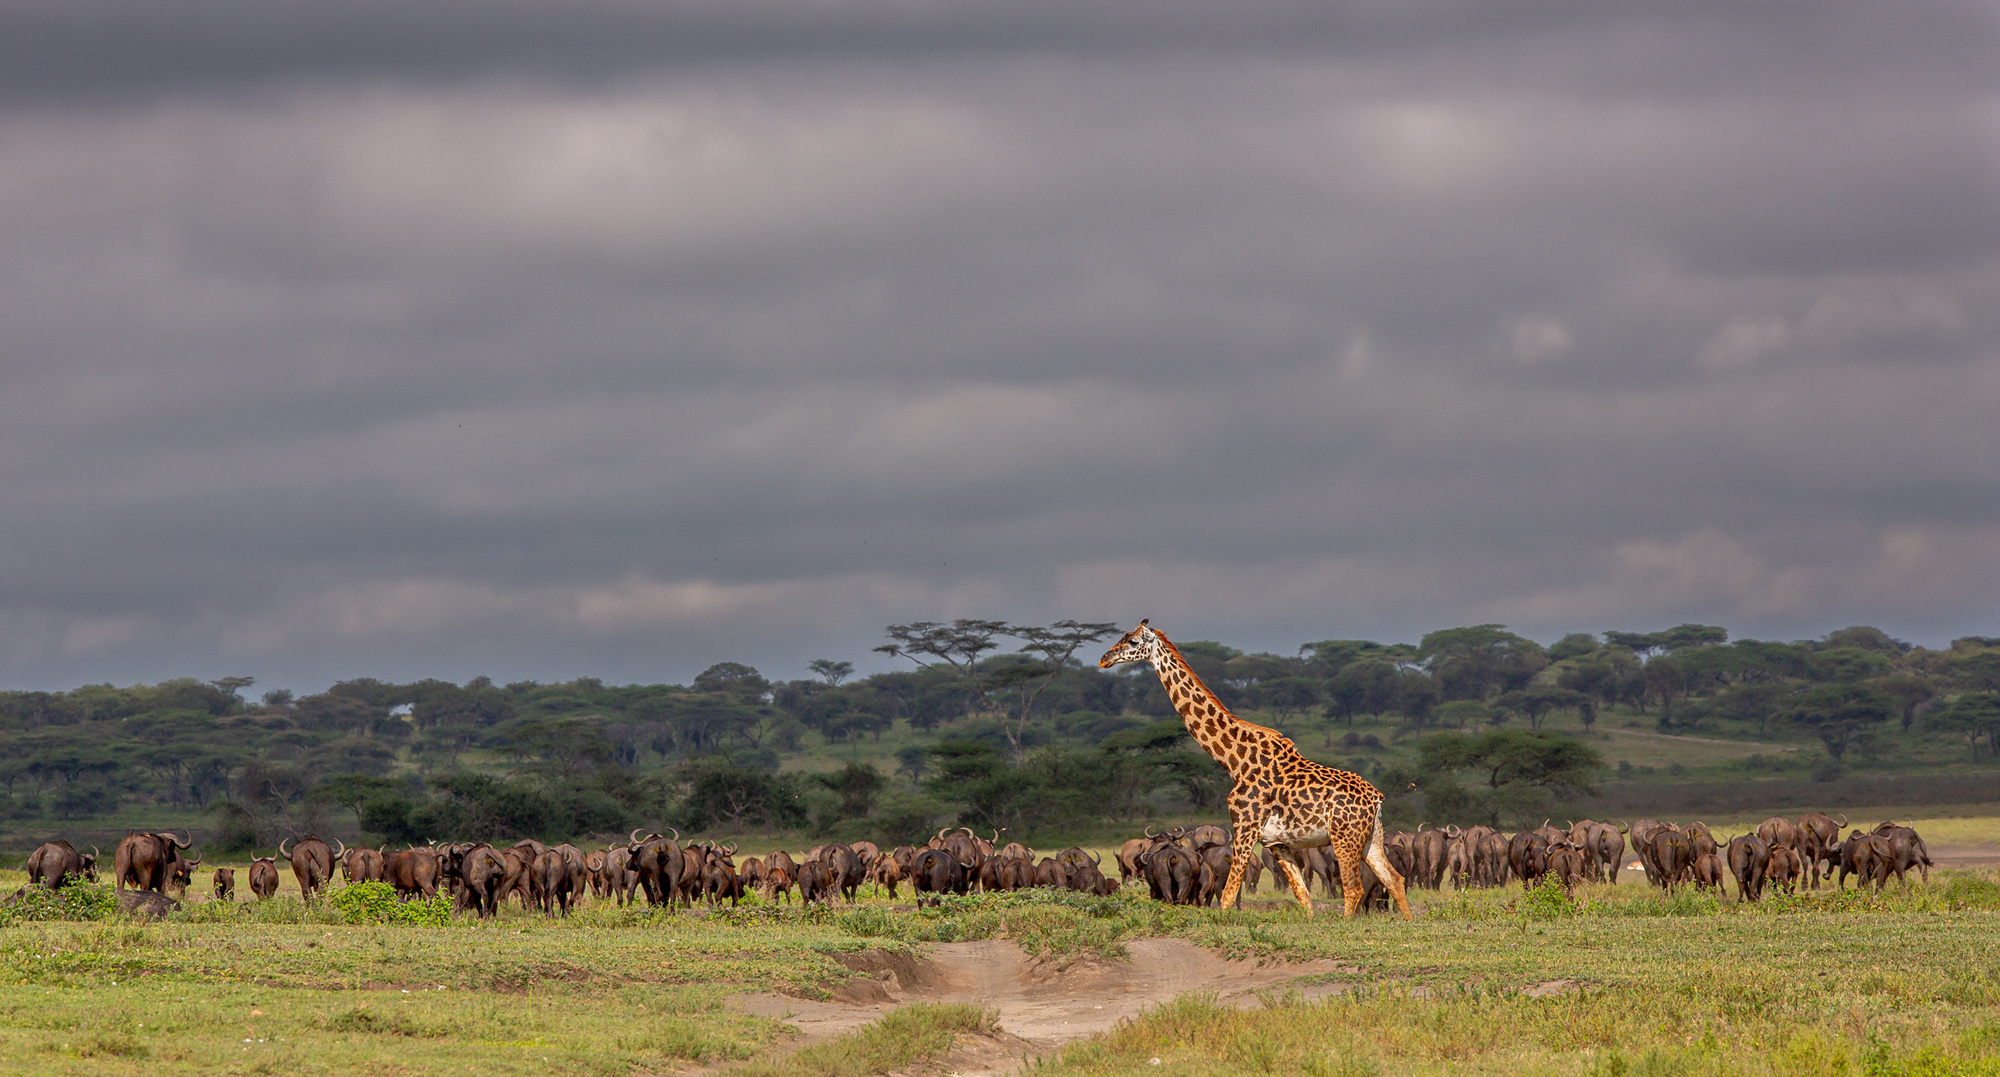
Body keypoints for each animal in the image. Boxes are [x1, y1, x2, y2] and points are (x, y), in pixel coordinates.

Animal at [1104, 620, 1416, 912]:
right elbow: (1303, 897)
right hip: (1371, 837)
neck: (1235, 761)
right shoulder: (1276, 842)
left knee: (1353, 889)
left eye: (1132, 641)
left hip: (1344, 838)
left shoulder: (1245, 827)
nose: (1105, 658)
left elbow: (1228, 896)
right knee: (1395, 879)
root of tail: (1376, 797)